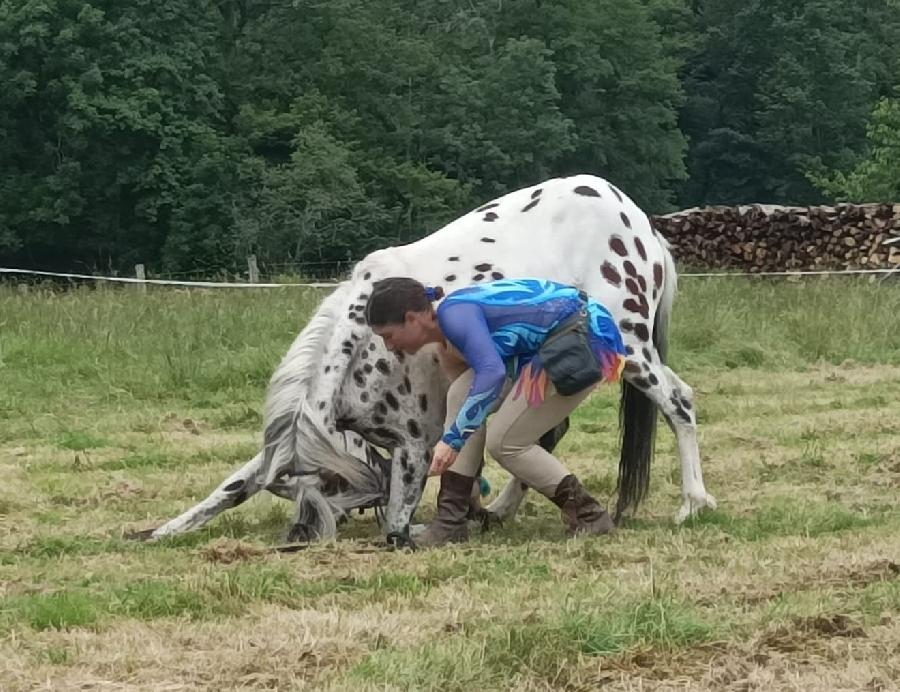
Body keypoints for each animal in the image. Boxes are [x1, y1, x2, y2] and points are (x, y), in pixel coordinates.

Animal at [155, 173, 716, 548]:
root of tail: (641, 224)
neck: (362, 347)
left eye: (327, 487)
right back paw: (499, 511)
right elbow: (229, 489)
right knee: (537, 437)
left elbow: (400, 511)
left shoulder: (413, 446)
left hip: (633, 350)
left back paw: (693, 503)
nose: (301, 535)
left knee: (678, 403)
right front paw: (159, 531)